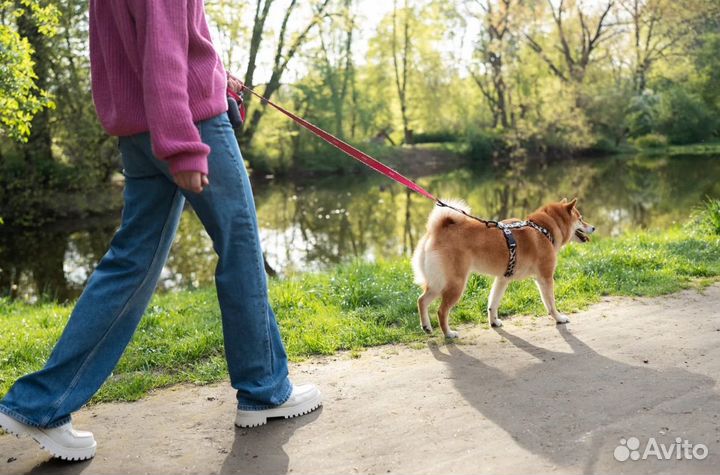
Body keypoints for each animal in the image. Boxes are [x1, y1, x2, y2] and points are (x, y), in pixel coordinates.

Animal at [410, 198, 596, 338]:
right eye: (580, 218)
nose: (593, 227)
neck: (544, 229)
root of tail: (437, 231)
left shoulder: (502, 279)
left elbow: (493, 303)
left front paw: (494, 322)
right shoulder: (545, 277)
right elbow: (550, 303)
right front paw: (558, 318)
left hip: (438, 282)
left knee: (421, 300)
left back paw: (426, 326)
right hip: (455, 284)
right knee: (441, 311)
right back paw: (448, 333)